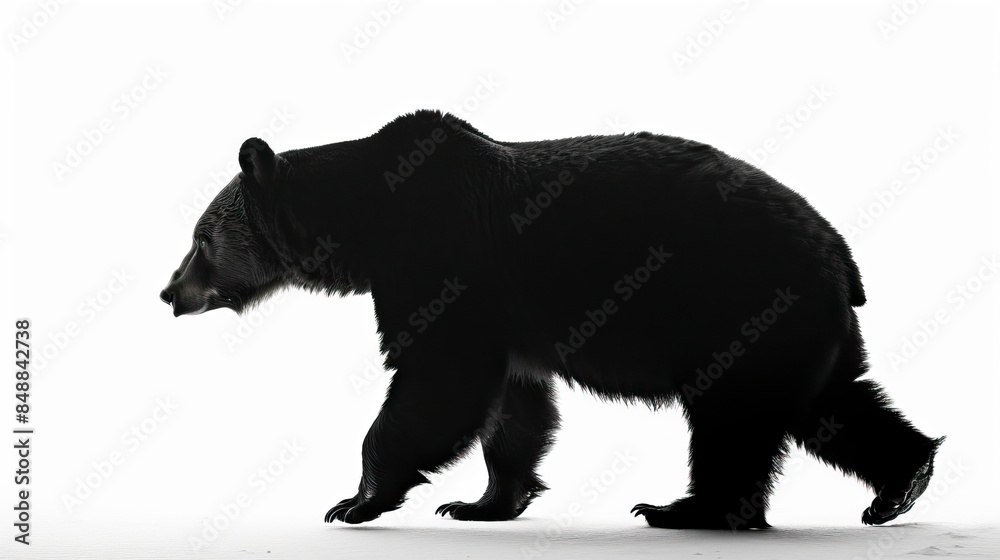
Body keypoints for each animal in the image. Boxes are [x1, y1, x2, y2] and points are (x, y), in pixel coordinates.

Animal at [161, 110, 942, 529]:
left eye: (200, 239)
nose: (169, 292)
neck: (368, 219)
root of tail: (841, 253)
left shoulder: (439, 255)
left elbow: (435, 379)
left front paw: (356, 500)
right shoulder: (505, 314)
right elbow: (513, 404)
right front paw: (482, 501)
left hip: (736, 301)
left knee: (735, 418)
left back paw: (685, 509)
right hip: (796, 321)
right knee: (833, 403)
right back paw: (901, 483)